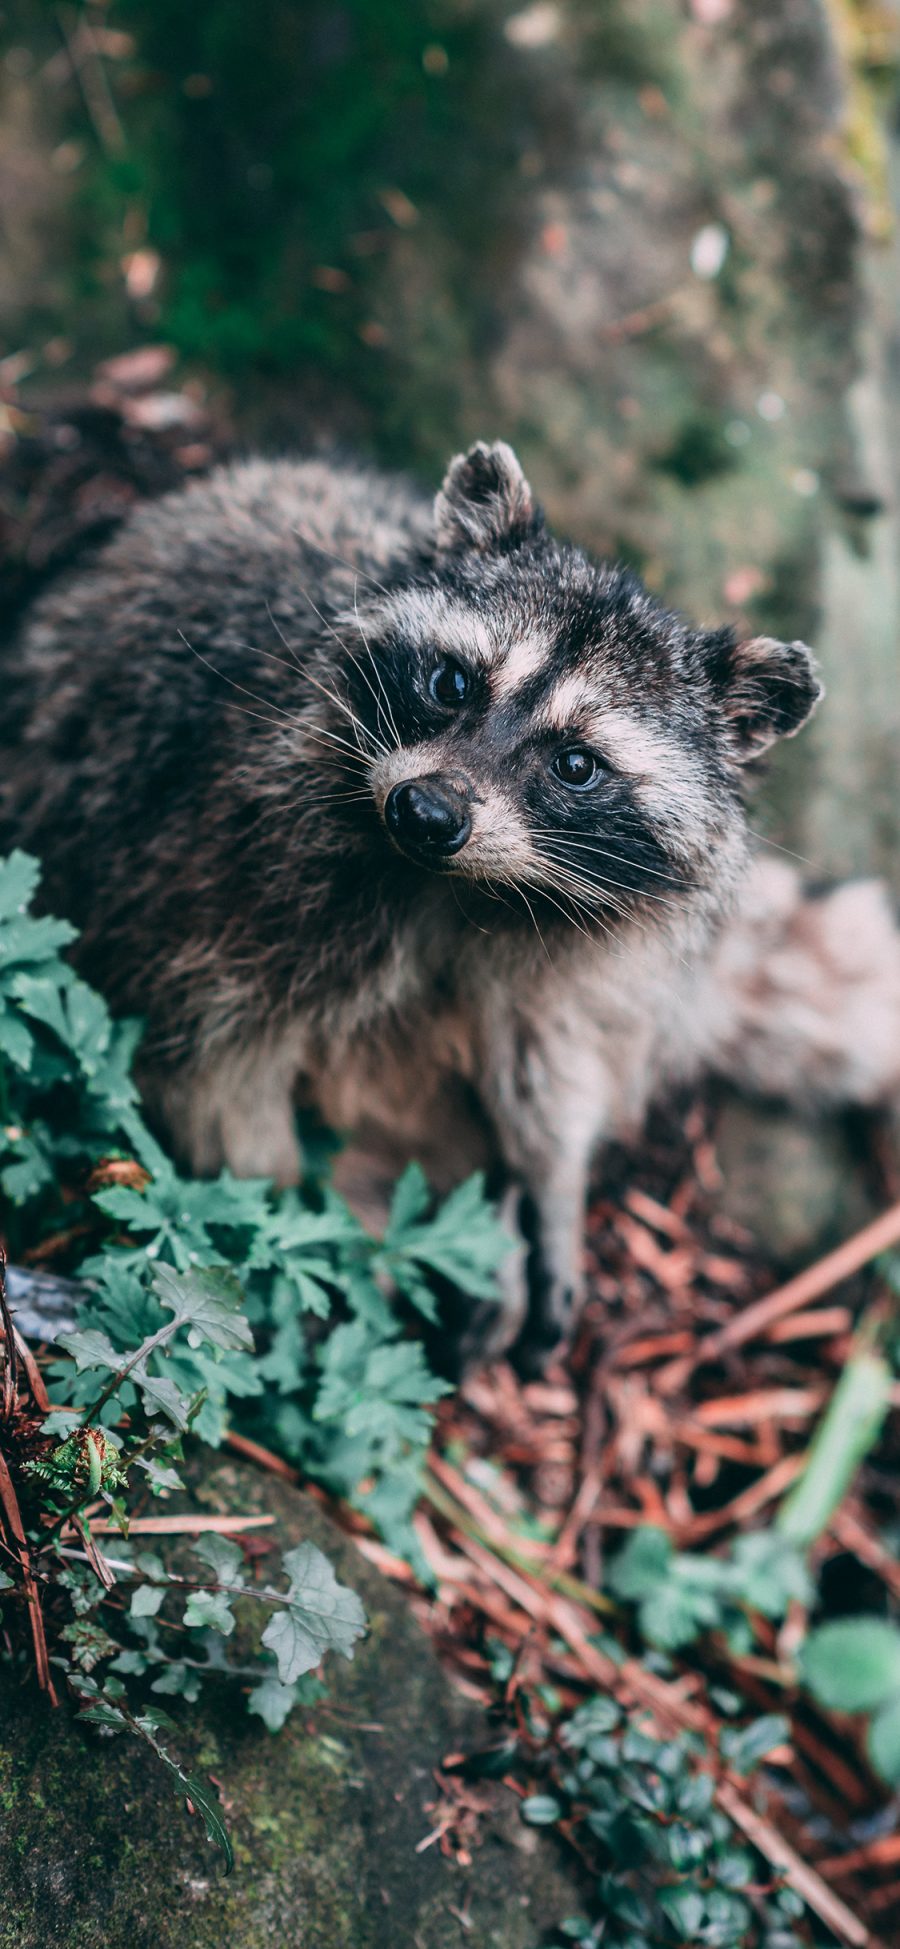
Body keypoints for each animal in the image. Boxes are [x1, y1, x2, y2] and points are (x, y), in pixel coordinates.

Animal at [1, 450, 900, 1372]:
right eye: (451, 682)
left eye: (577, 764)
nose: (427, 811)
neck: (460, 885)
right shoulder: (219, 872)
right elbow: (213, 1075)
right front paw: (311, 1220)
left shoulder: (593, 952)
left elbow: (557, 1063)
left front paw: (552, 1178)